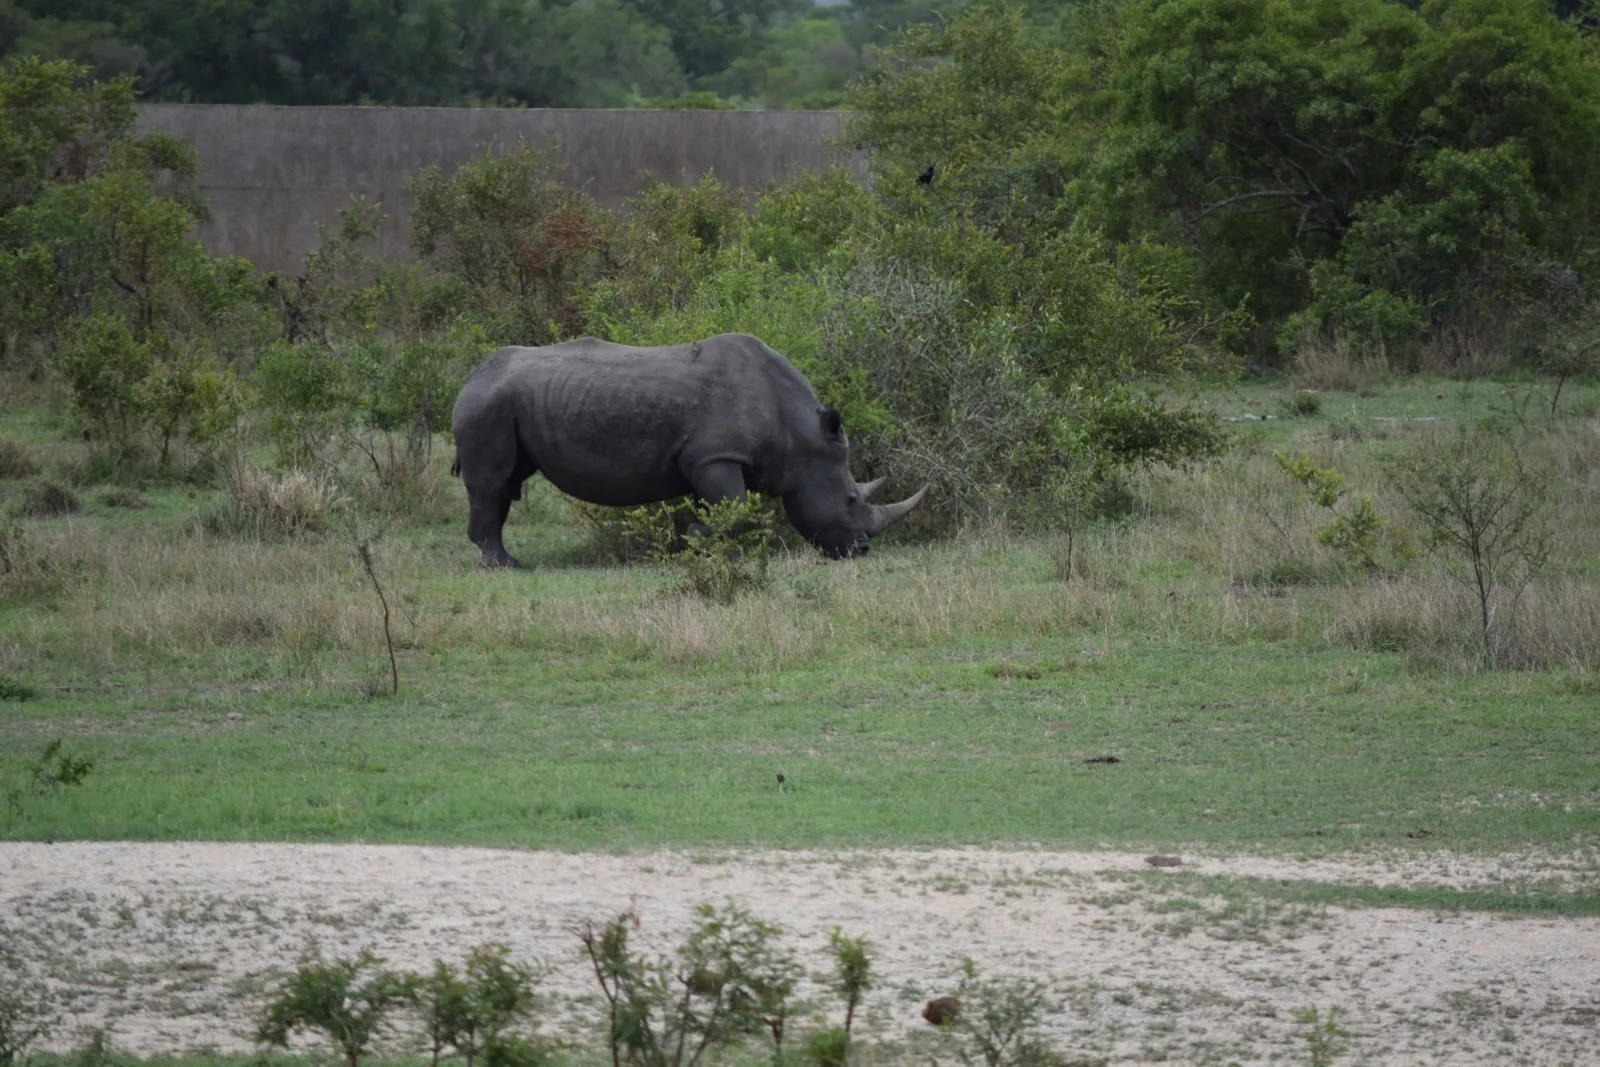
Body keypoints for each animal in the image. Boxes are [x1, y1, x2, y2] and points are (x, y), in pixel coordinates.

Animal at [450, 333, 928, 567]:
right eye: (849, 500)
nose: (861, 551)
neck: (796, 431)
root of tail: (471, 374)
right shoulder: (717, 456)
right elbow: (736, 510)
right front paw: (700, 541)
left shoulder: (706, 462)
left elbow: (724, 512)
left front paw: (707, 547)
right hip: (488, 404)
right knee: (492, 483)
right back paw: (505, 566)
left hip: (509, 402)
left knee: (508, 482)